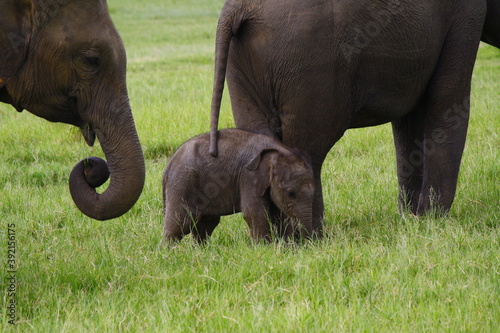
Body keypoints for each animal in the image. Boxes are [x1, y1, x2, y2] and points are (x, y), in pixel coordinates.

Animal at [162, 128, 314, 243]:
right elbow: (253, 212)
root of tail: (170, 163)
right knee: (180, 224)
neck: (278, 150)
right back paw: (167, 253)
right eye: (290, 193)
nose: (307, 245)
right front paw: (265, 248)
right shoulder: (249, 176)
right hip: (182, 182)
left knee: (206, 223)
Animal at [209, 0, 498, 235]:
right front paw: (433, 222)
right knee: (308, 150)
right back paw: (309, 240)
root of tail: (236, 8)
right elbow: (447, 98)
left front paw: (413, 219)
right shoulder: (465, 16)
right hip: (309, 59)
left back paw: (279, 241)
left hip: (242, 64)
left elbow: (409, 119)